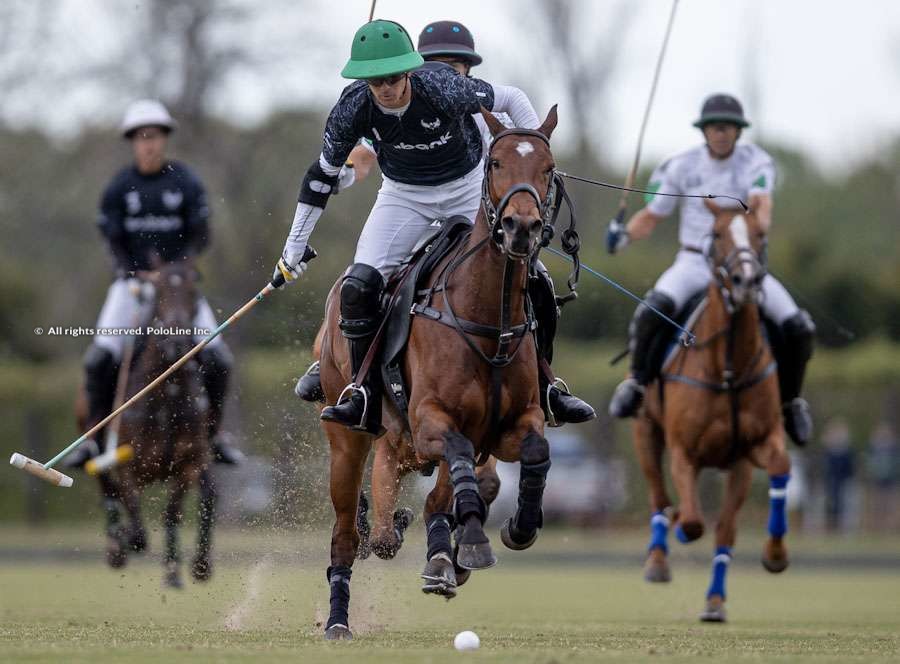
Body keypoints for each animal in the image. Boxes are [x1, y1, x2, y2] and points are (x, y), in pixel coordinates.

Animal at [77, 260, 216, 588]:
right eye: (159, 292)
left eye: (194, 293)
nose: (176, 341)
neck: (167, 397)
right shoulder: (127, 464)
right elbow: (134, 518)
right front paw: (130, 539)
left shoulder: (188, 463)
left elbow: (172, 511)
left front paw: (175, 570)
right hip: (93, 442)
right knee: (107, 489)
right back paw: (116, 548)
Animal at [314, 106, 564, 640]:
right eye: (495, 163)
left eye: (549, 169)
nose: (521, 227)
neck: (487, 318)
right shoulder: (431, 420)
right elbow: (457, 459)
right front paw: (467, 545)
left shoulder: (510, 425)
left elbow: (533, 453)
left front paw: (514, 528)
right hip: (347, 437)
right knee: (347, 532)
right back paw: (339, 618)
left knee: (422, 505)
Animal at [632, 202, 788, 624]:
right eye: (717, 234)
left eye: (760, 234)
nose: (745, 280)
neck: (727, 368)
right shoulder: (683, 452)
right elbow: (692, 521)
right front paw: (679, 528)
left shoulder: (751, 451)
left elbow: (729, 525)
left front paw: (774, 555)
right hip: (645, 431)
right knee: (657, 496)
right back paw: (657, 559)